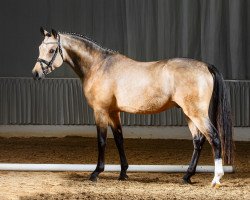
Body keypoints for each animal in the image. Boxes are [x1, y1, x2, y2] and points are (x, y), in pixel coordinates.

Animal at [32, 28, 233, 188]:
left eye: (52, 50)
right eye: (40, 48)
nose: (35, 74)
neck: (98, 66)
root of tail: (205, 66)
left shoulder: (100, 111)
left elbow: (102, 141)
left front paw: (96, 172)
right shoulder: (114, 112)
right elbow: (119, 139)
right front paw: (123, 173)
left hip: (196, 113)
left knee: (214, 138)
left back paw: (216, 179)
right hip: (189, 114)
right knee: (198, 141)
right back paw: (187, 176)